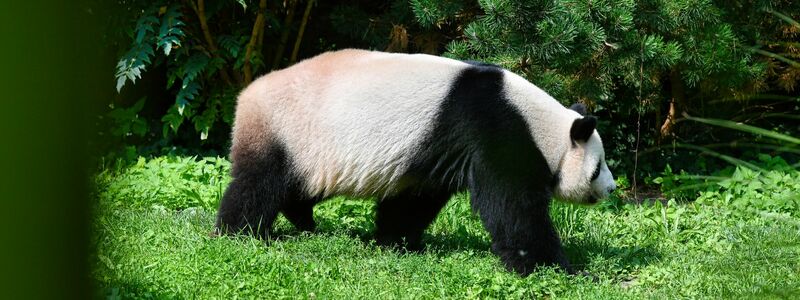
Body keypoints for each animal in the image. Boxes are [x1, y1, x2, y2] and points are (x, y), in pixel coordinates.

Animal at [216, 49, 616, 276]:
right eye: (597, 167)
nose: (612, 189)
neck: (541, 124)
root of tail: (246, 94)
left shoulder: (435, 150)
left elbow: (415, 198)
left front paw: (396, 241)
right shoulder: (495, 129)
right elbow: (513, 206)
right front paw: (560, 268)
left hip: (309, 149)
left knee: (299, 187)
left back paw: (303, 220)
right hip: (288, 129)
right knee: (258, 184)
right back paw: (239, 233)